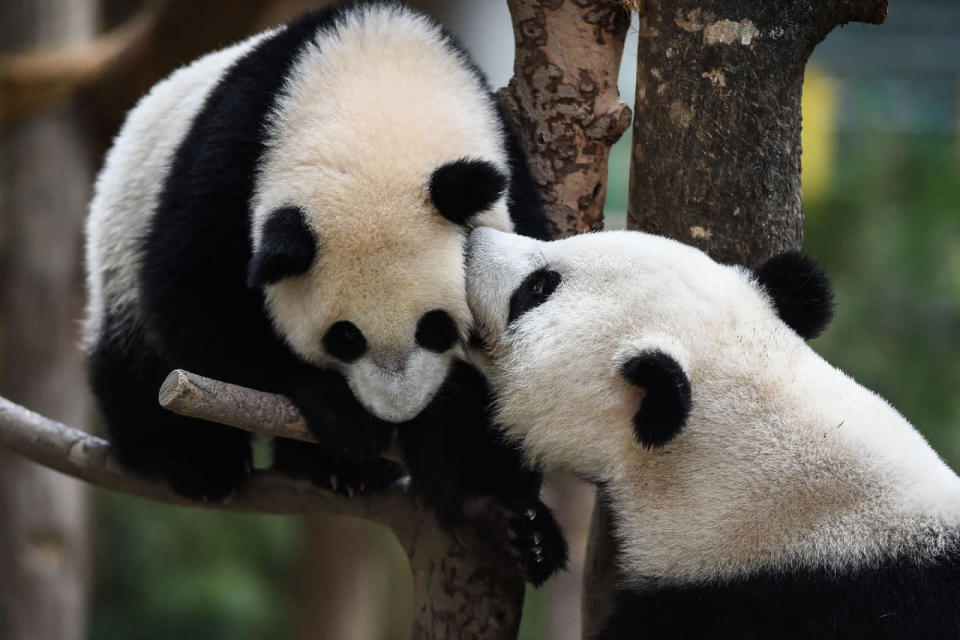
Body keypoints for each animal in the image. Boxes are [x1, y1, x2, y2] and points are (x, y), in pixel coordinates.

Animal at [86, 0, 568, 580]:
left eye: (436, 328)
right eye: (345, 338)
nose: (398, 410)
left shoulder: (507, 176)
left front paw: (467, 471)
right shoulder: (233, 161)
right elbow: (190, 300)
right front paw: (344, 417)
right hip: (120, 235)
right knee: (136, 359)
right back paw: (199, 461)